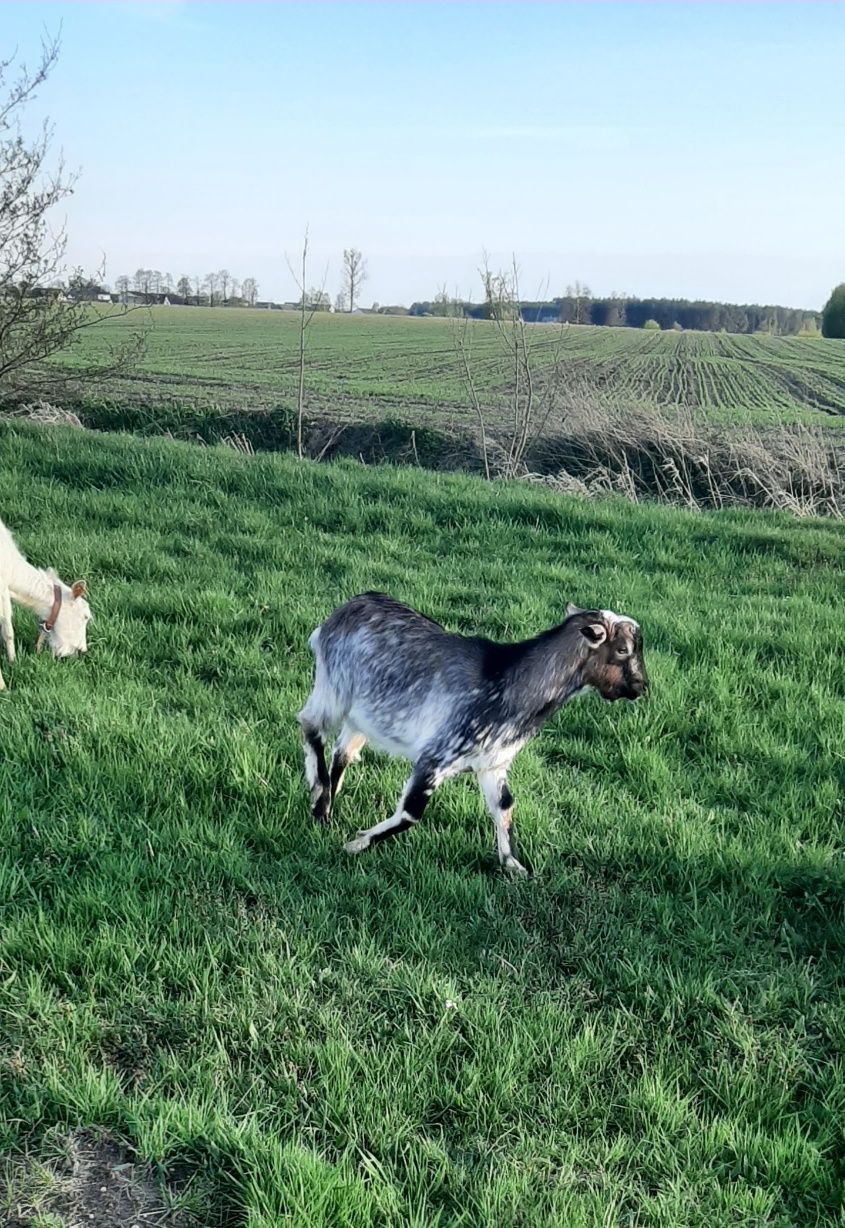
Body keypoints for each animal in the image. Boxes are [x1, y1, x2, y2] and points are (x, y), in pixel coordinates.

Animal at [0, 510, 91, 687]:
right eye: (86, 617)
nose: (82, 651)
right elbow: (8, 629)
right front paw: (3, 685)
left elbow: (7, 630)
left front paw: (12, 662)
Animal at [297, 591, 648, 874]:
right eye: (623, 649)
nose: (641, 686)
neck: (510, 683)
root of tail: (346, 608)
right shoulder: (437, 756)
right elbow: (411, 813)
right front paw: (357, 844)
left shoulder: (492, 764)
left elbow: (504, 805)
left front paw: (512, 864)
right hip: (333, 689)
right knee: (310, 725)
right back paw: (319, 794)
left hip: (364, 715)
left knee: (343, 753)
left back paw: (327, 804)